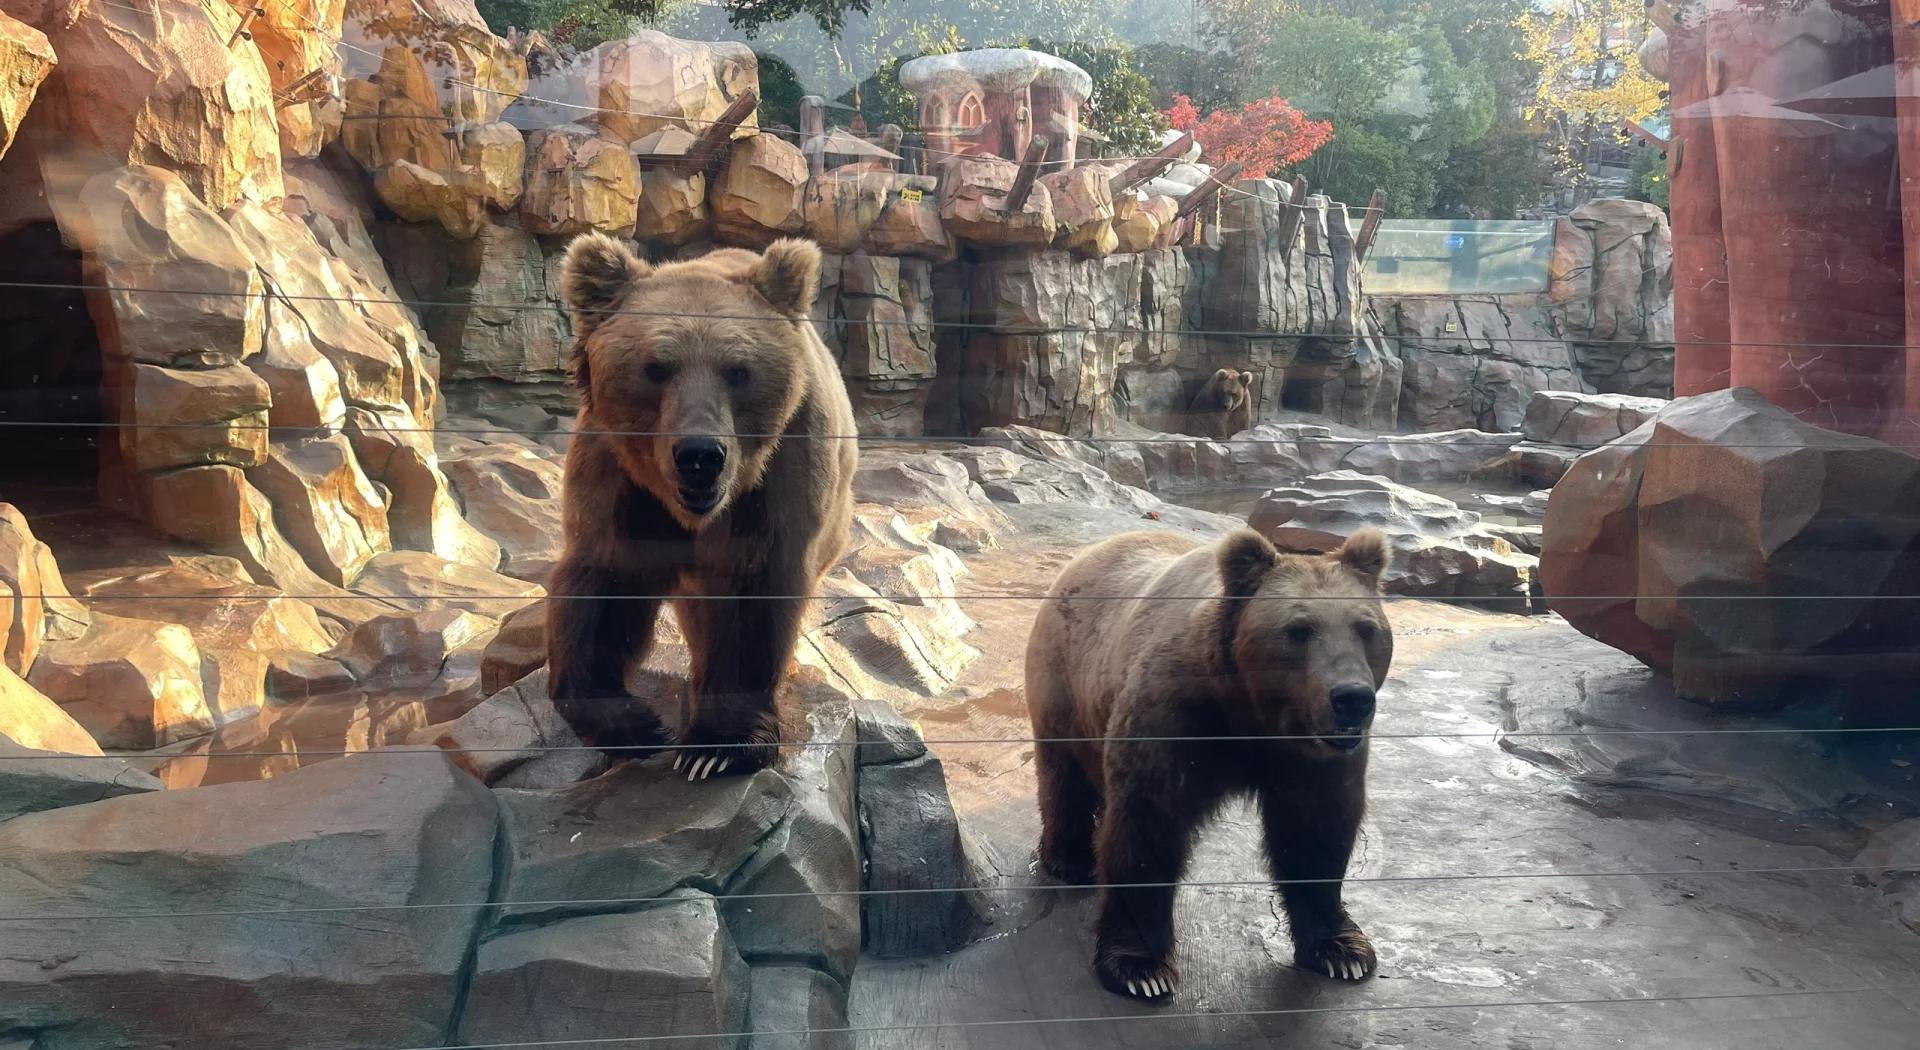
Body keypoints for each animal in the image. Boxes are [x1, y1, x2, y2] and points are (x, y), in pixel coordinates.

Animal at [545, 232, 858, 780]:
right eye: (656, 367)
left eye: (738, 370)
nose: (699, 456)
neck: (691, 512)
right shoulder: (619, 477)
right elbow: (607, 584)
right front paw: (635, 726)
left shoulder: (778, 476)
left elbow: (752, 597)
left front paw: (717, 747)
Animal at [1023, 525, 1392, 1001]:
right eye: (1299, 630)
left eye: (1366, 628)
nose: (1351, 698)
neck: (1251, 713)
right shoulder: (1175, 718)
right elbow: (1147, 827)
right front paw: (1142, 969)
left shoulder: (1311, 757)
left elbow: (1316, 832)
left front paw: (1342, 951)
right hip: (1066, 679)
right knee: (1064, 774)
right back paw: (1070, 860)